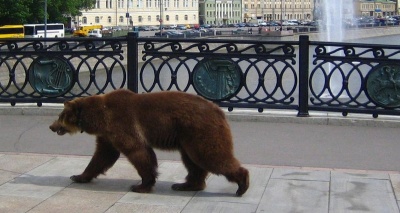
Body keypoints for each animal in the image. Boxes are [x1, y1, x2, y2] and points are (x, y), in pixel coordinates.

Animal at [49, 88, 248, 196]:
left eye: (60, 115)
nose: (51, 126)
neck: (99, 117)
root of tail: (219, 110)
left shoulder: (121, 122)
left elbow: (138, 151)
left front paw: (140, 185)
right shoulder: (107, 135)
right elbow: (102, 156)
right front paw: (78, 176)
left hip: (200, 131)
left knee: (211, 156)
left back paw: (242, 184)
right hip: (188, 139)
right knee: (193, 162)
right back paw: (185, 185)